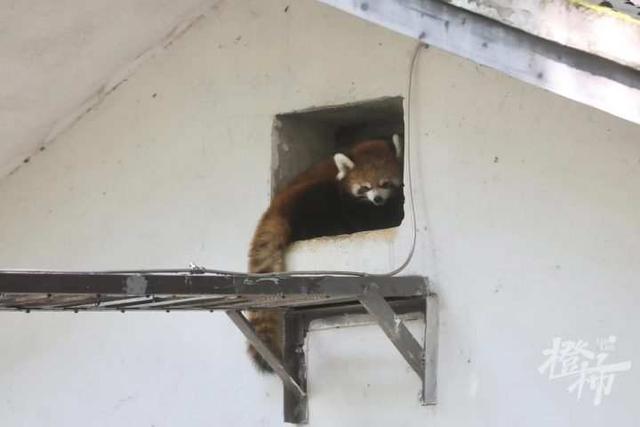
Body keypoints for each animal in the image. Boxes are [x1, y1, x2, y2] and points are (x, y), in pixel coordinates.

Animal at [248, 135, 402, 372]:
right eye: (365, 187)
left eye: (385, 183)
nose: (377, 199)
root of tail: (275, 208)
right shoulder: (352, 203)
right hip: (310, 199)